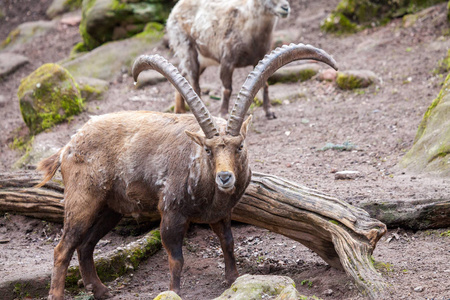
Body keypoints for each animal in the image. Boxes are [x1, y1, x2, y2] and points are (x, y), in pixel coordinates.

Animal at [36, 43, 338, 298]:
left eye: (240, 145)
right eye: (208, 150)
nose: (225, 177)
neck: (206, 183)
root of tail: (68, 146)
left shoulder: (220, 214)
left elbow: (228, 242)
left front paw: (234, 280)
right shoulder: (171, 213)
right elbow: (176, 258)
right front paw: (174, 292)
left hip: (111, 207)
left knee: (86, 246)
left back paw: (101, 291)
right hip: (83, 199)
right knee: (63, 248)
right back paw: (58, 293)